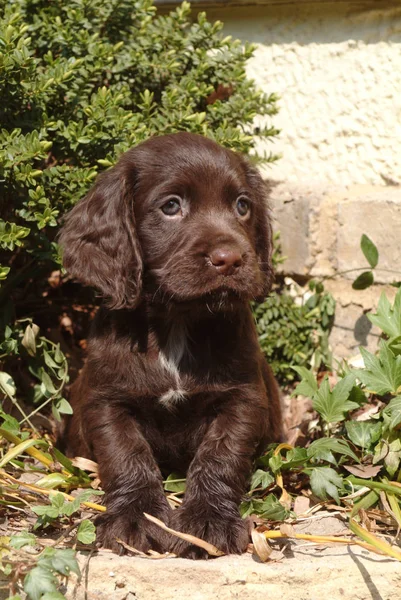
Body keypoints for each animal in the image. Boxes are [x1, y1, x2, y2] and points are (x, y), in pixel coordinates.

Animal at [58, 132, 282, 556]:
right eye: (171, 206)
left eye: (242, 205)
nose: (231, 259)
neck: (178, 321)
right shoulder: (107, 401)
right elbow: (127, 454)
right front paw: (137, 517)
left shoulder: (243, 399)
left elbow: (221, 455)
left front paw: (209, 520)